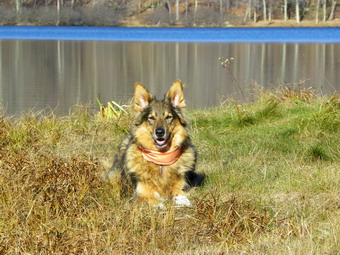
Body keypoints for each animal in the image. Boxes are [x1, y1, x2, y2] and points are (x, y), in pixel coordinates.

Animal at [107, 80, 203, 208]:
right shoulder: (140, 193)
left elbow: (181, 196)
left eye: (168, 117)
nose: (160, 132)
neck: (161, 161)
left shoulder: (181, 187)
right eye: (151, 118)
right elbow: (154, 200)